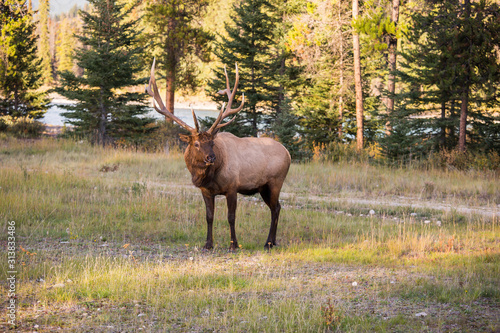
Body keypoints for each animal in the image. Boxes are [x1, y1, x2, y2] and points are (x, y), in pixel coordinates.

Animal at [146, 59, 292, 249]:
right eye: (196, 143)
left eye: (212, 143)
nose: (211, 157)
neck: (210, 176)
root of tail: (288, 153)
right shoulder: (206, 191)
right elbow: (209, 217)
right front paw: (208, 244)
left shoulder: (232, 187)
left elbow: (231, 217)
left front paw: (233, 244)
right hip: (263, 187)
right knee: (278, 207)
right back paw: (272, 241)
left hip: (275, 181)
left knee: (275, 208)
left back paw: (268, 242)